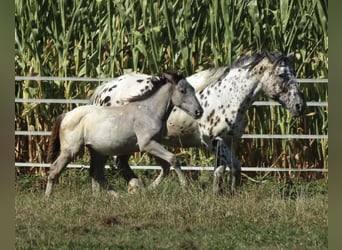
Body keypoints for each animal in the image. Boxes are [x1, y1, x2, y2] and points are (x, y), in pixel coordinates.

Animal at [44, 70, 202, 197]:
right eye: (182, 90)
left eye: (193, 89)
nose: (198, 112)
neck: (149, 111)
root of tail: (65, 115)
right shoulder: (147, 144)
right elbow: (173, 159)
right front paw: (185, 187)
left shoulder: (153, 144)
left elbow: (165, 167)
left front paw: (147, 190)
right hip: (70, 150)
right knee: (54, 170)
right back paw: (47, 198)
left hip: (97, 151)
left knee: (98, 174)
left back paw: (115, 197)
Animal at [89, 50, 306, 193]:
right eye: (282, 74)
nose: (300, 106)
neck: (228, 96)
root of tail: (103, 90)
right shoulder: (213, 141)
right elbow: (231, 168)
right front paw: (223, 193)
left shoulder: (227, 141)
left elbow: (226, 169)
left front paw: (223, 193)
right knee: (116, 163)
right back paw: (132, 187)